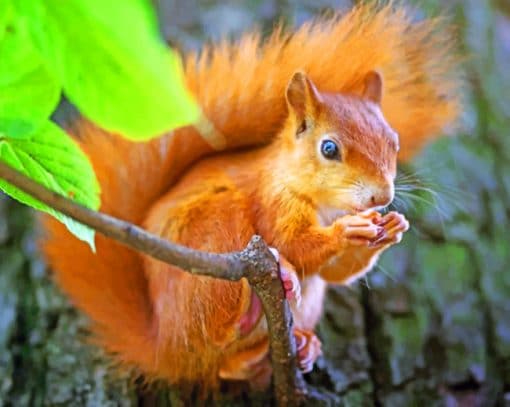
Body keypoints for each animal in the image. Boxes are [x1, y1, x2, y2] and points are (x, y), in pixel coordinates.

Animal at [40, 2, 462, 392]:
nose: (381, 196)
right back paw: (264, 295)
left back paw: (295, 348)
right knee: (217, 331)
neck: (326, 205)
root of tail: (165, 348)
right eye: (329, 149)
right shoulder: (272, 199)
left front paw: (392, 227)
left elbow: (335, 273)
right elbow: (296, 243)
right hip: (217, 232)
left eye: (394, 142)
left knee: (229, 366)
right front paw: (347, 231)